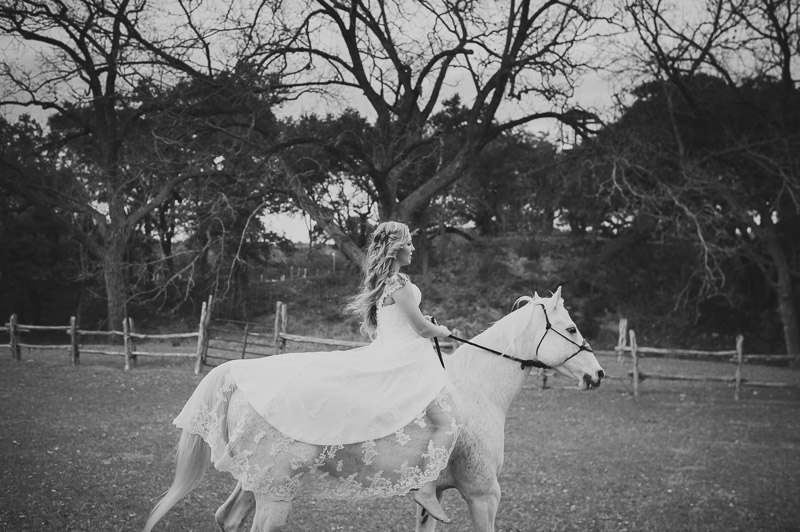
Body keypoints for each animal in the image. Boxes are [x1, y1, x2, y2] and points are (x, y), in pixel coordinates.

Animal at [145, 288, 608, 528]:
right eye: (571, 329)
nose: (598, 374)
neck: (476, 390)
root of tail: (238, 376)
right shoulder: (483, 494)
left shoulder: (434, 499)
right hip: (275, 493)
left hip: (254, 482)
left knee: (228, 518)